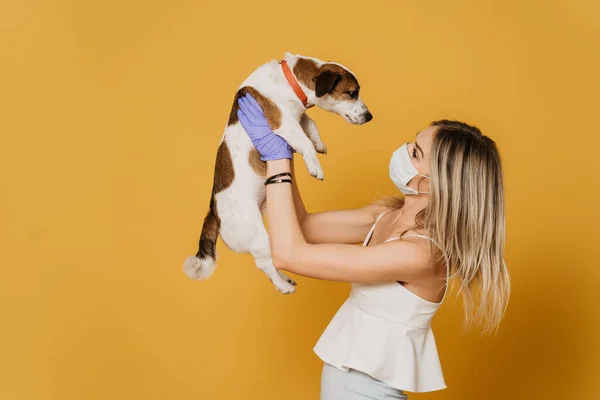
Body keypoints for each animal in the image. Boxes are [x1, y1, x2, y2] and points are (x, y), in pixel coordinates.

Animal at [180, 51, 372, 294]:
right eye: (352, 93)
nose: (369, 116)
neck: (290, 82)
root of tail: (213, 214)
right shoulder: (284, 123)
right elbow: (305, 142)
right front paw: (315, 165)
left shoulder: (298, 118)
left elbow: (311, 125)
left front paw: (319, 143)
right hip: (257, 235)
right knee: (265, 263)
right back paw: (282, 285)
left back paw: (285, 279)